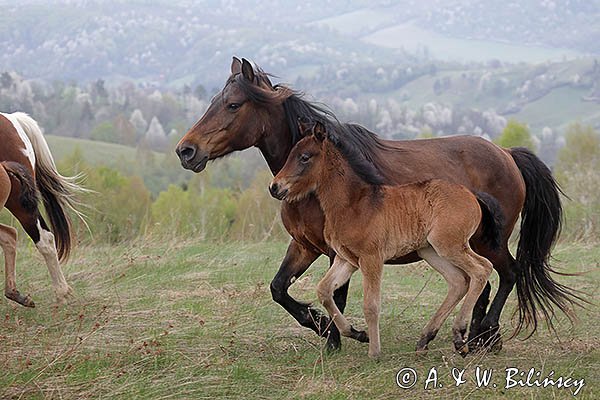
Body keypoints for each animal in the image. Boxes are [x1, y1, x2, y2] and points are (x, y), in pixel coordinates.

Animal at [270, 121, 502, 356]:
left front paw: (374, 351)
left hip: (450, 245)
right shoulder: (346, 259)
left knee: (481, 269)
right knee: (458, 281)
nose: (275, 187)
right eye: (291, 154)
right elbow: (324, 291)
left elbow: (371, 305)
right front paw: (357, 333)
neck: (354, 204)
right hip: (430, 251)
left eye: (305, 157)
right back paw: (427, 339)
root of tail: (472, 195)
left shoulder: (371, 258)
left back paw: (459, 335)